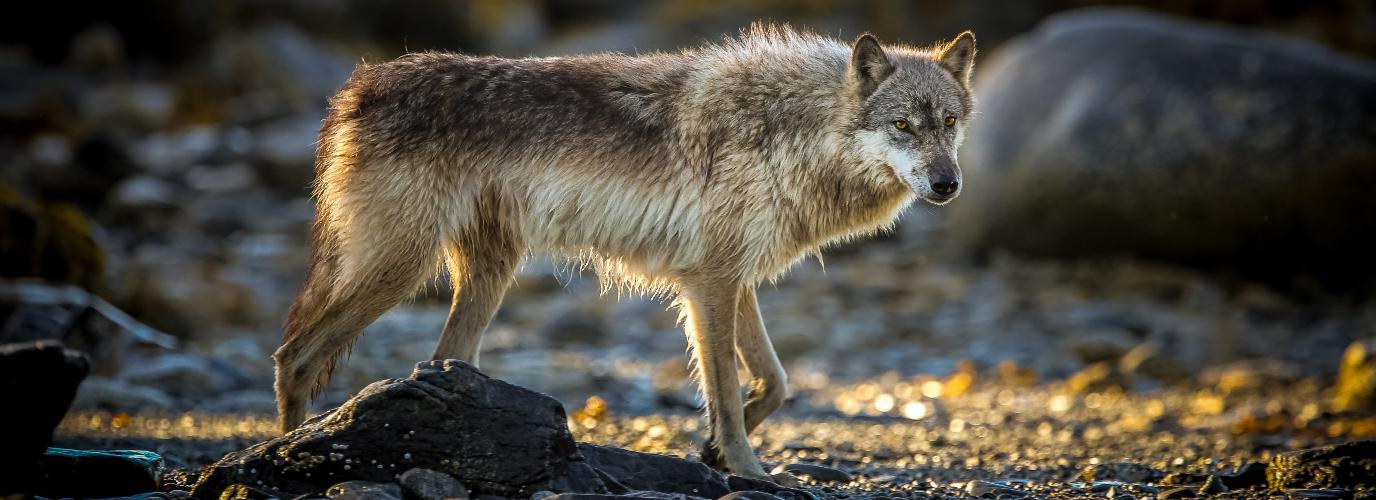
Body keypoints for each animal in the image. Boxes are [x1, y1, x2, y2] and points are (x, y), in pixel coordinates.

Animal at [273, 24, 976, 482]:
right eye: (903, 126)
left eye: (948, 124)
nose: (947, 185)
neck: (790, 131)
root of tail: (360, 85)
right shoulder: (710, 283)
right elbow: (726, 392)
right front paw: (747, 470)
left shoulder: (734, 281)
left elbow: (774, 382)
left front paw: (712, 453)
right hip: (401, 269)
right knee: (294, 357)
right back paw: (290, 450)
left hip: (483, 275)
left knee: (438, 358)